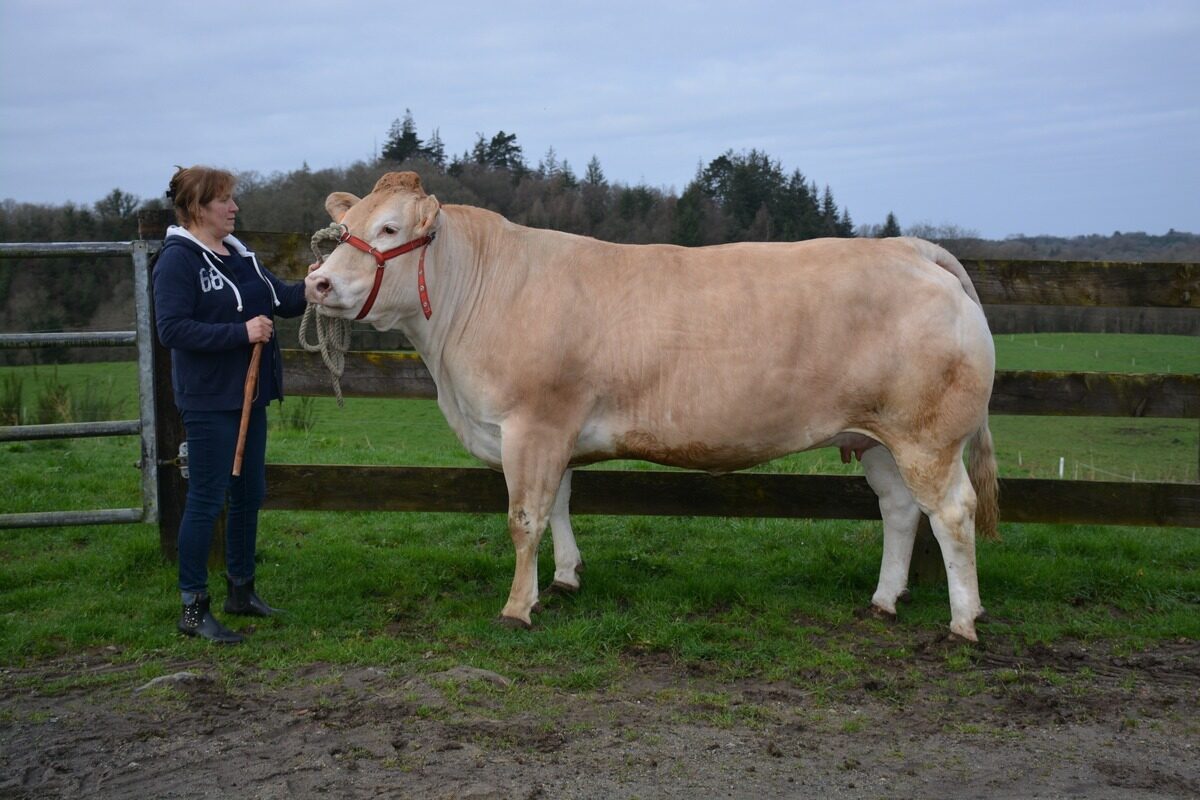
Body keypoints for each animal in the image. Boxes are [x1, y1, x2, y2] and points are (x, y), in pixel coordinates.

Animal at [304, 172, 998, 642]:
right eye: (344, 228)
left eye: (389, 229)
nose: (317, 282)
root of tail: (912, 248)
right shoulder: (555, 431)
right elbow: (561, 503)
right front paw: (566, 579)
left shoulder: (530, 425)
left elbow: (525, 518)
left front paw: (517, 607)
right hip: (878, 436)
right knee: (901, 511)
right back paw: (883, 600)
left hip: (928, 436)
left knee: (952, 512)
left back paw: (963, 621)